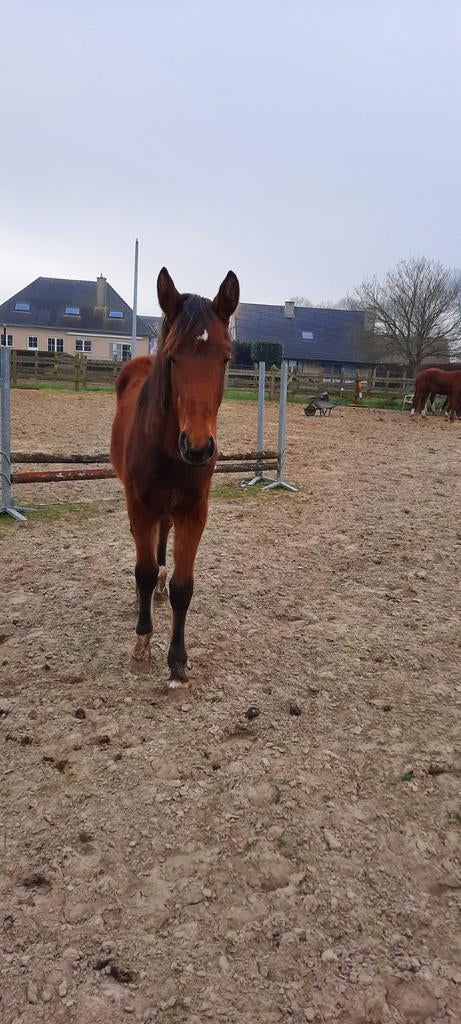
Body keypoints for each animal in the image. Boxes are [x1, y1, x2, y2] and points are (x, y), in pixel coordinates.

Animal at [110, 267, 239, 685]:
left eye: (226, 357)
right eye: (172, 357)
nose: (198, 448)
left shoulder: (193, 511)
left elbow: (183, 587)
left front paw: (178, 663)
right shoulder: (140, 503)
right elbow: (143, 570)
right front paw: (141, 646)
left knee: (162, 538)